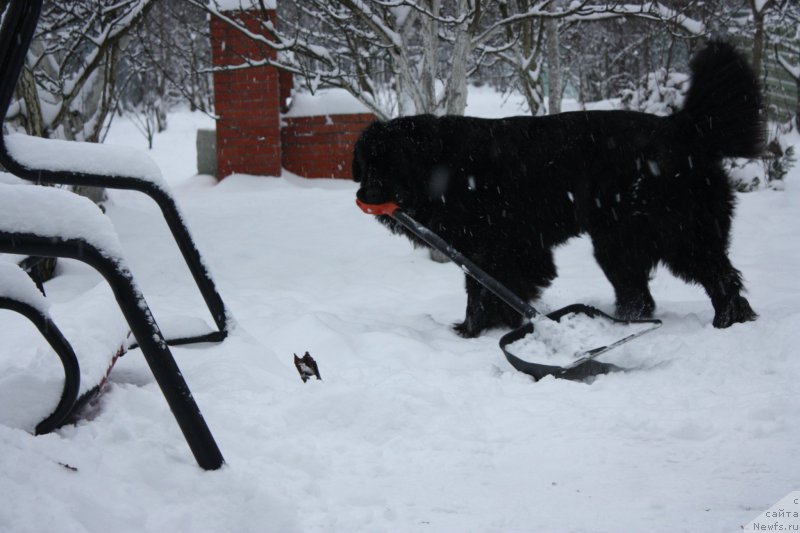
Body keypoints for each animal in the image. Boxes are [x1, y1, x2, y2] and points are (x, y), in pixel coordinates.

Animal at [354, 43, 764, 338]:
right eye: (365, 166)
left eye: (387, 167)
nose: (365, 197)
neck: (445, 165)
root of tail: (683, 129)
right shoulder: (494, 250)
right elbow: (491, 287)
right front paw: (498, 325)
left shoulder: (497, 246)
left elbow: (483, 289)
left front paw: (472, 330)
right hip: (620, 242)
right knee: (639, 292)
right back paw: (625, 322)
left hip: (677, 233)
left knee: (721, 276)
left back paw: (729, 321)